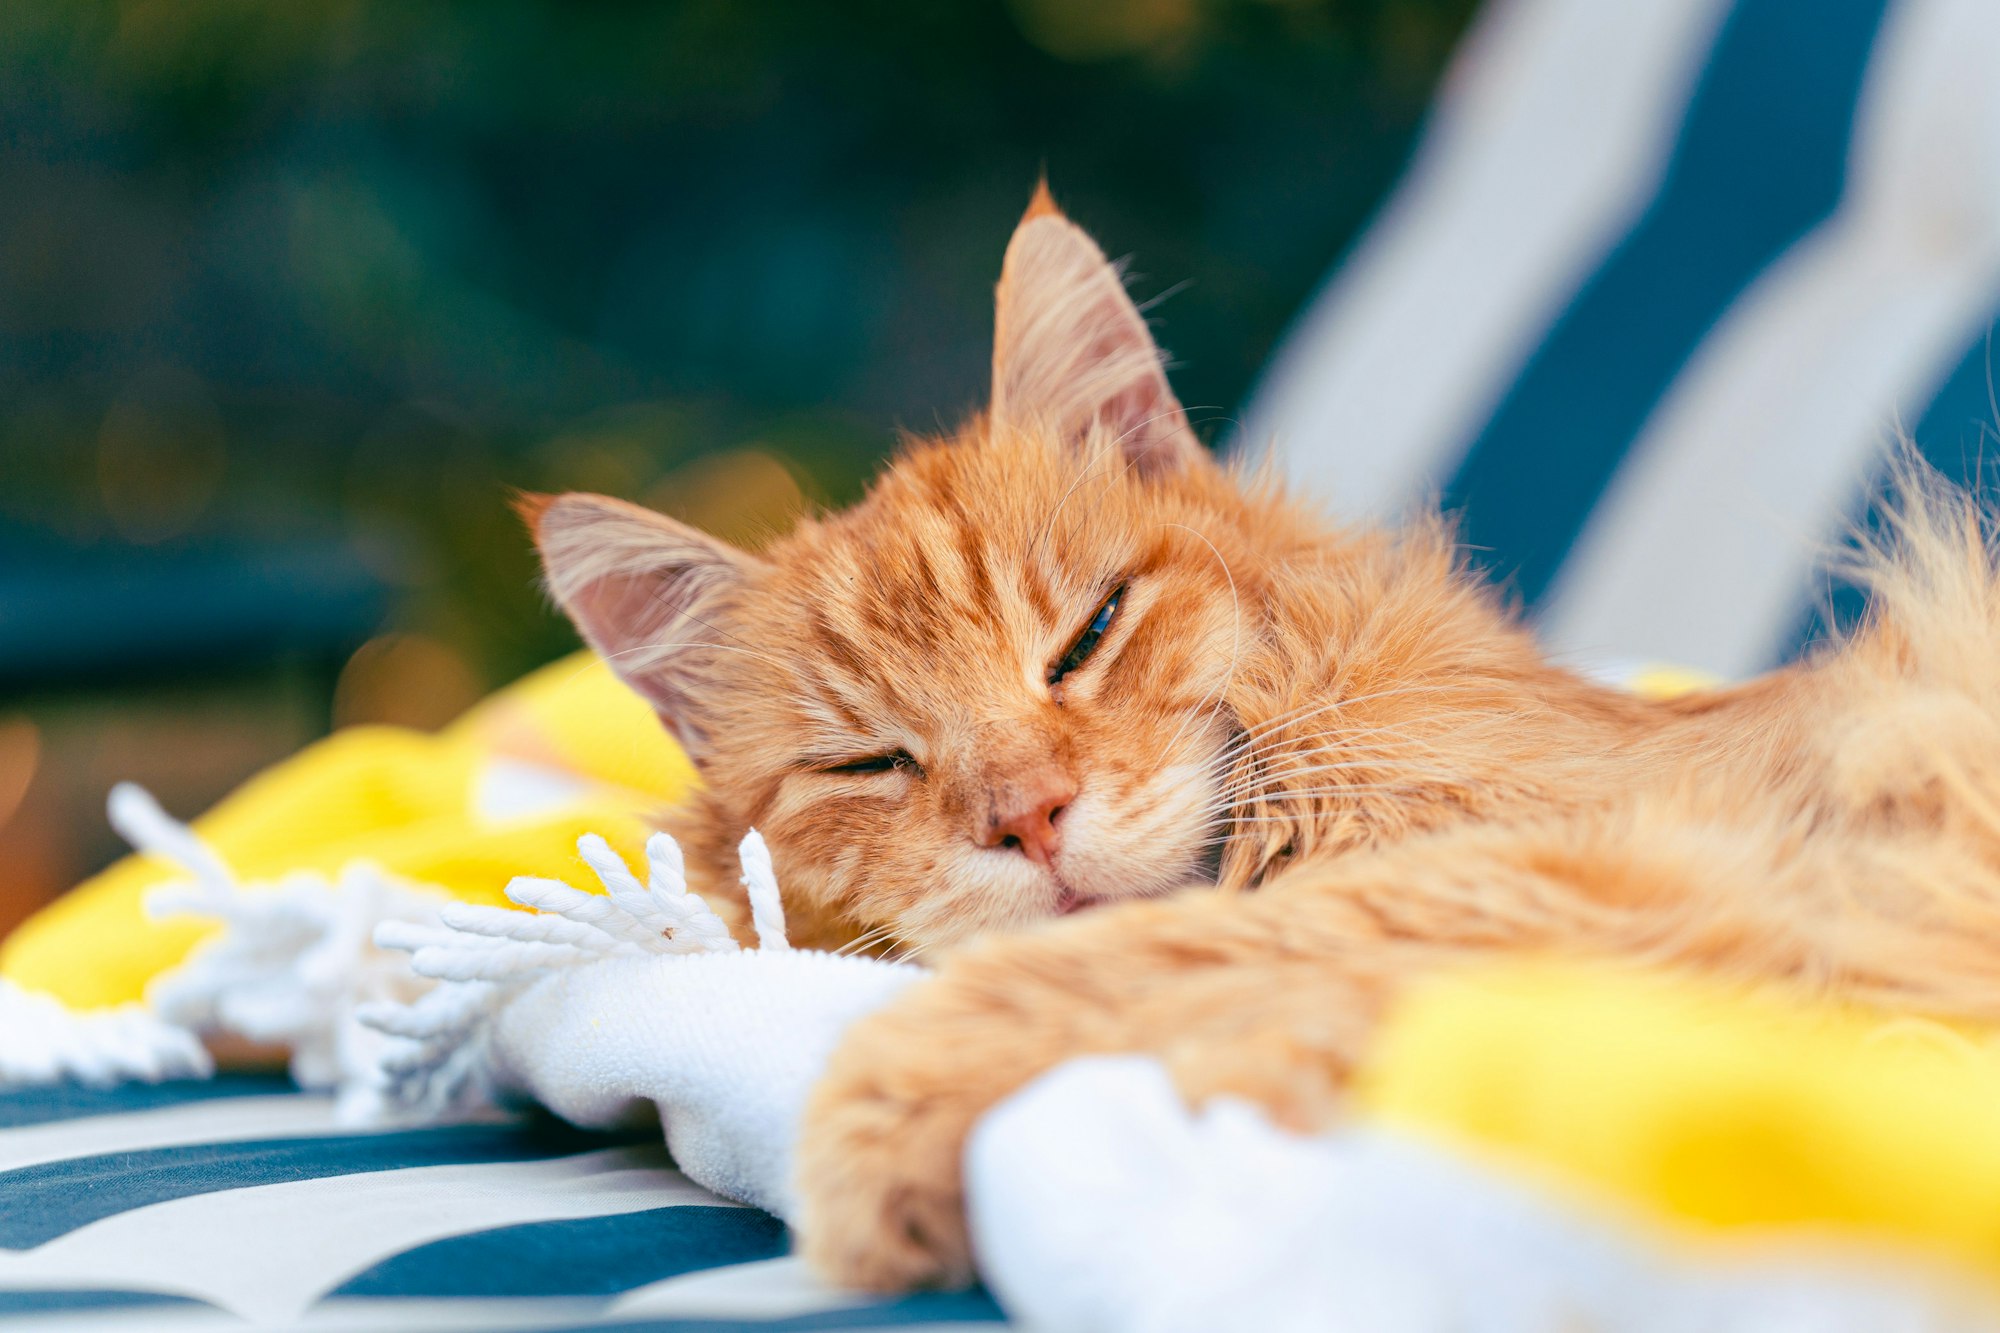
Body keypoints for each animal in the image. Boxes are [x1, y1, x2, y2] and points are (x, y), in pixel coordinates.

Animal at [528, 187, 2000, 1288]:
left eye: (1088, 635)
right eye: (867, 762)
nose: (1027, 816)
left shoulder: (1647, 853)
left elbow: (1170, 953)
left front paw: (882, 1125)